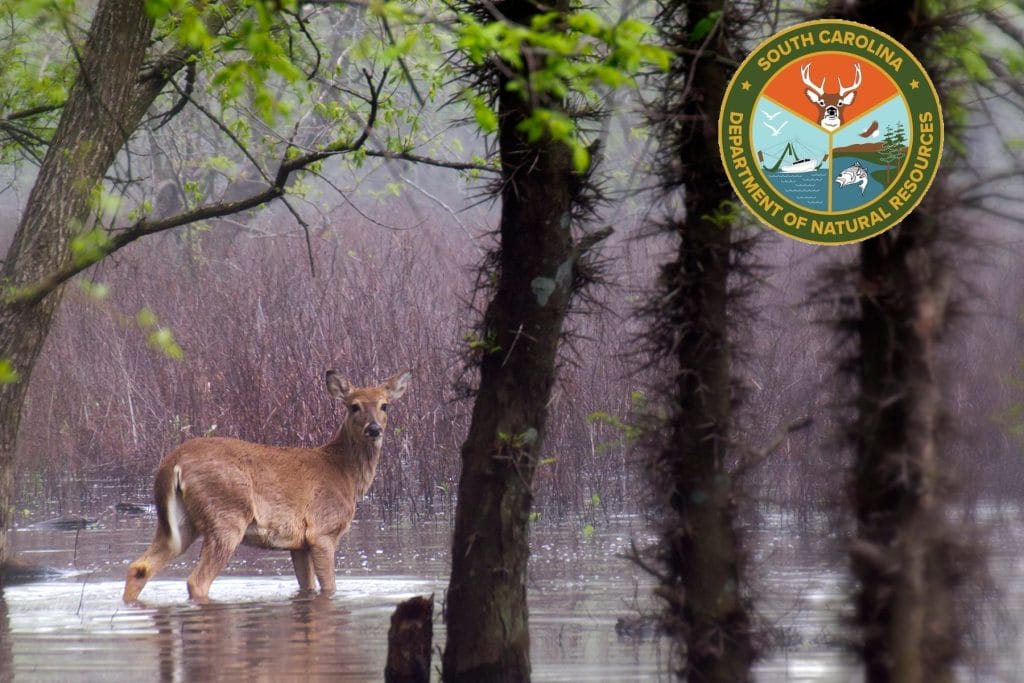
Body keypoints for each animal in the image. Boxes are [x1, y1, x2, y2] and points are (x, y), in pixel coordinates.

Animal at [119, 368, 407, 602]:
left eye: (385, 405)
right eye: (353, 406)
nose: (374, 429)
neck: (343, 473)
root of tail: (173, 462)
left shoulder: (299, 544)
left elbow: (307, 587)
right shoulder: (322, 531)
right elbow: (329, 588)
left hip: (179, 523)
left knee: (140, 567)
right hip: (226, 517)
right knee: (196, 581)